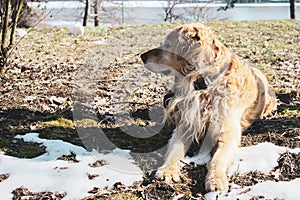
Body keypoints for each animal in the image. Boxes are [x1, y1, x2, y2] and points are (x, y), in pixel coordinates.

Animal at [141, 22, 276, 191]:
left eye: (167, 45)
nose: (142, 57)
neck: (205, 84)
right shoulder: (186, 125)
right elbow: (175, 151)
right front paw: (168, 171)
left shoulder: (228, 132)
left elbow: (217, 159)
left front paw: (215, 179)